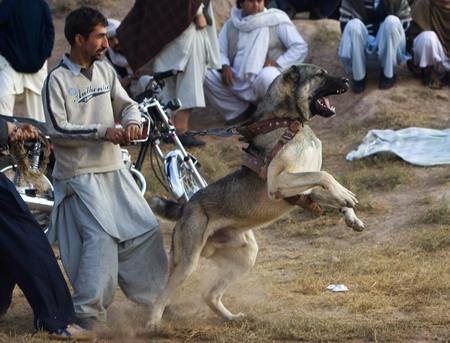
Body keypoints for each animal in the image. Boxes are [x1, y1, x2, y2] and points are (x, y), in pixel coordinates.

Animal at [148, 63, 366, 330]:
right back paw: (153, 323)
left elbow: (329, 188)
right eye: (319, 75)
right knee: (162, 294)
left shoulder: (304, 190)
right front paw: (345, 195)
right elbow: (325, 174)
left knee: (209, 294)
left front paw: (350, 215)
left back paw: (230, 318)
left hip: (245, 257)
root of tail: (185, 207)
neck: (288, 123)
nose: (347, 80)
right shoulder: (277, 183)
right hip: (187, 262)